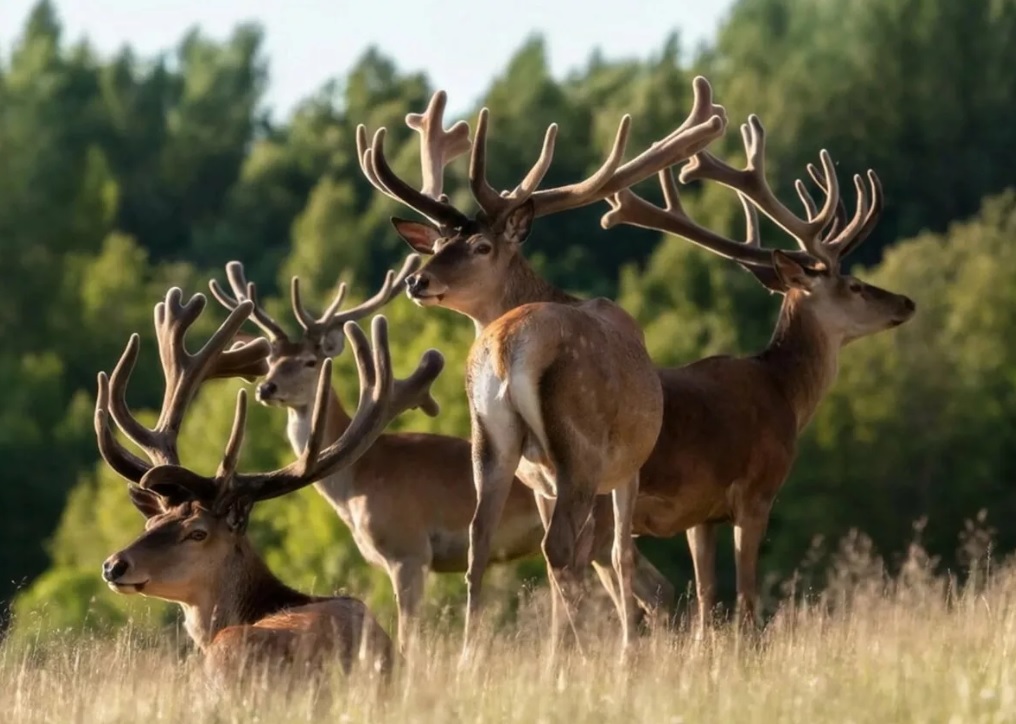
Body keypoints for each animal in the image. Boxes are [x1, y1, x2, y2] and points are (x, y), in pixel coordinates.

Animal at [205, 249, 548, 653]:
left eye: (310, 361)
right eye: (270, 361)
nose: (266, 388)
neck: (358, 480)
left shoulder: (409, 548)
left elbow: (408, 633)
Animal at [357, 81, 731, 653]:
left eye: (478, 245)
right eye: (440, 243)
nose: (417, 281)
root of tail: (508, 346)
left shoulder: (538, 481)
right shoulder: (626, 465)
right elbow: (618, 555)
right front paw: (626, 651)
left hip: (491, 440)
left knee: (480, 542)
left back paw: (475, 656)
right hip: (580, 444)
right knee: (562, 551)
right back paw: (583, 652)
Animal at [597, 114, 918, 633]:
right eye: (853, 285)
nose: (905, 302)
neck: (785, 394)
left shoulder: (701, 514)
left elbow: (707, 600)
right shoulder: (757, 491)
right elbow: (746, 601)